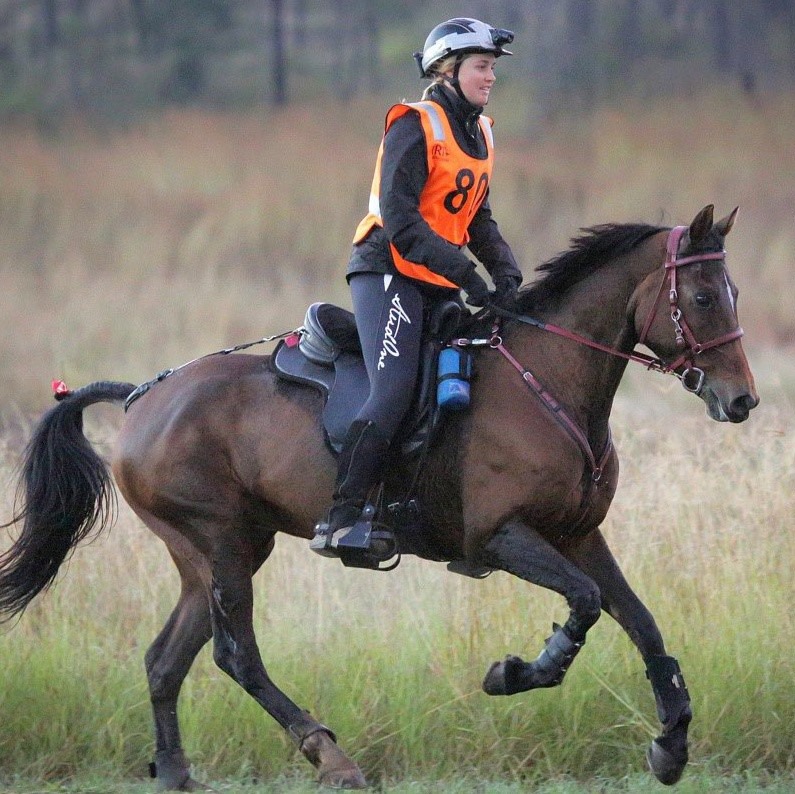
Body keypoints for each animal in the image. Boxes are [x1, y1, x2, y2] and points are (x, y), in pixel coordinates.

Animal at [0, 204, 760, 784]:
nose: (742, 400)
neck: (549, 378)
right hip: (220, 543)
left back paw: (178, 775)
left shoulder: (578, 534)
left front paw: (671, 745)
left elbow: (639, 619)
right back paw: (330, 757)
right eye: (700, 298)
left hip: (211, 554)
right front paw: (515, 672)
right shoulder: (499, 537)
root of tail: (141, 396)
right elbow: (587, 602)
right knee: (234, 655)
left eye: (733, 294)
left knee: (166, 661)